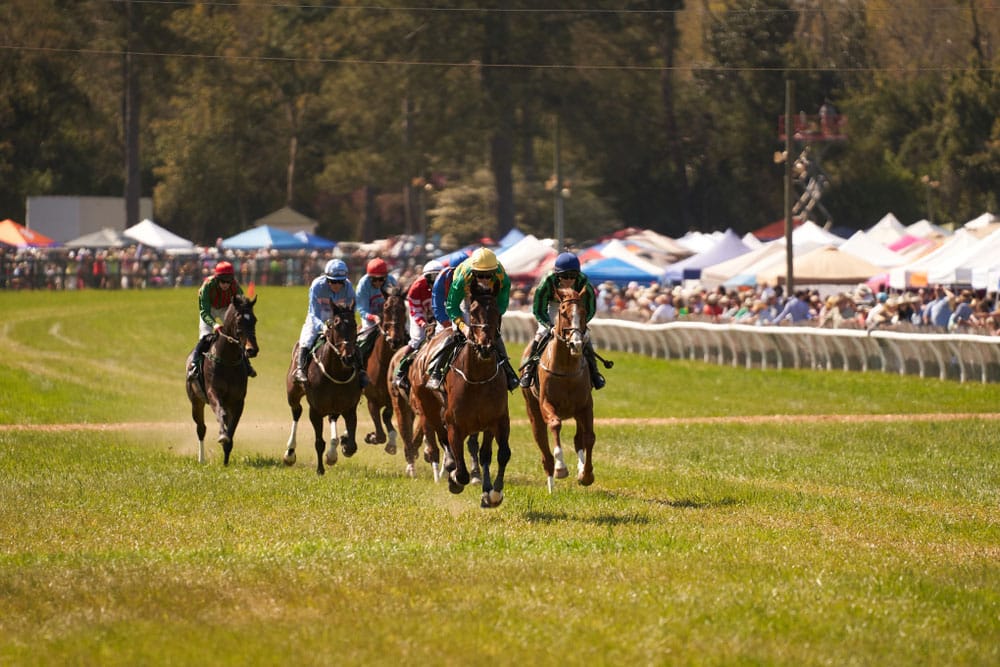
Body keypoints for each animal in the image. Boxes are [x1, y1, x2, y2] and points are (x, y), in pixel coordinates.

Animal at [186, 290, 260, 468]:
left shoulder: (238, 400)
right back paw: (201, 459)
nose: (252, 350)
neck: (227, 359)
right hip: (195, 401)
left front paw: (226, 458)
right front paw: (222, 435)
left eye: (254, 319)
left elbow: (232, 427)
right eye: (239, 320)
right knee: (201, 428)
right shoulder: (213, 393)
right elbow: (221, 413)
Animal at [282, 302, 364, 474]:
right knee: (296, 412)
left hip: (334, 406)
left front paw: (343, 446)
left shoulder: (349, 408)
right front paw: (320, 469)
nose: (349, 357)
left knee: (332, 417)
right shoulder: (315, 410)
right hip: (293, 393)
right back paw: (290, 453)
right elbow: (319, 442)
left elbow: (352, 445)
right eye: (336, 325)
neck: (336, 372)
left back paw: (332, 452)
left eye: (354, 325)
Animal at [362, 288, 408, 454]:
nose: (395, 340)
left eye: (403, 309)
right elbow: (380, 433)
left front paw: (390, 443)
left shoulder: (391, 398)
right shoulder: (372, 399)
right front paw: (372, 436)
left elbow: (386, 416)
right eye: (386, 308)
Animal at [520, 286, 596, 490]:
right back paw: (551, 485)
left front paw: (586, 475)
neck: (566, 368)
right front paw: (561, 468)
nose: (577, 344)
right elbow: (555, 424)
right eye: (563, 312)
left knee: (578, 439)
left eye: (583, 311)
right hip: (533, 410)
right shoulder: (546, 403)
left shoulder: (585, 405)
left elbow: (588, 437)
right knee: (543, 445)